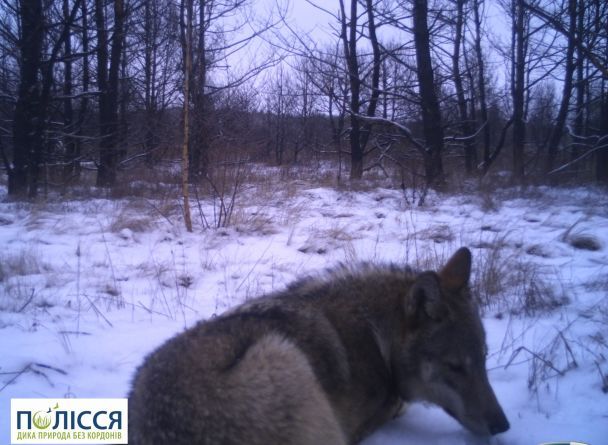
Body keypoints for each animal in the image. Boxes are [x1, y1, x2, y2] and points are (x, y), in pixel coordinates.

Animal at [128, 248, 508, 442]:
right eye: (455, 366)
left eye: (484, 358)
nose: (502, 426)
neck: (377, 336)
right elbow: (395, 405)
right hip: (282, 355)